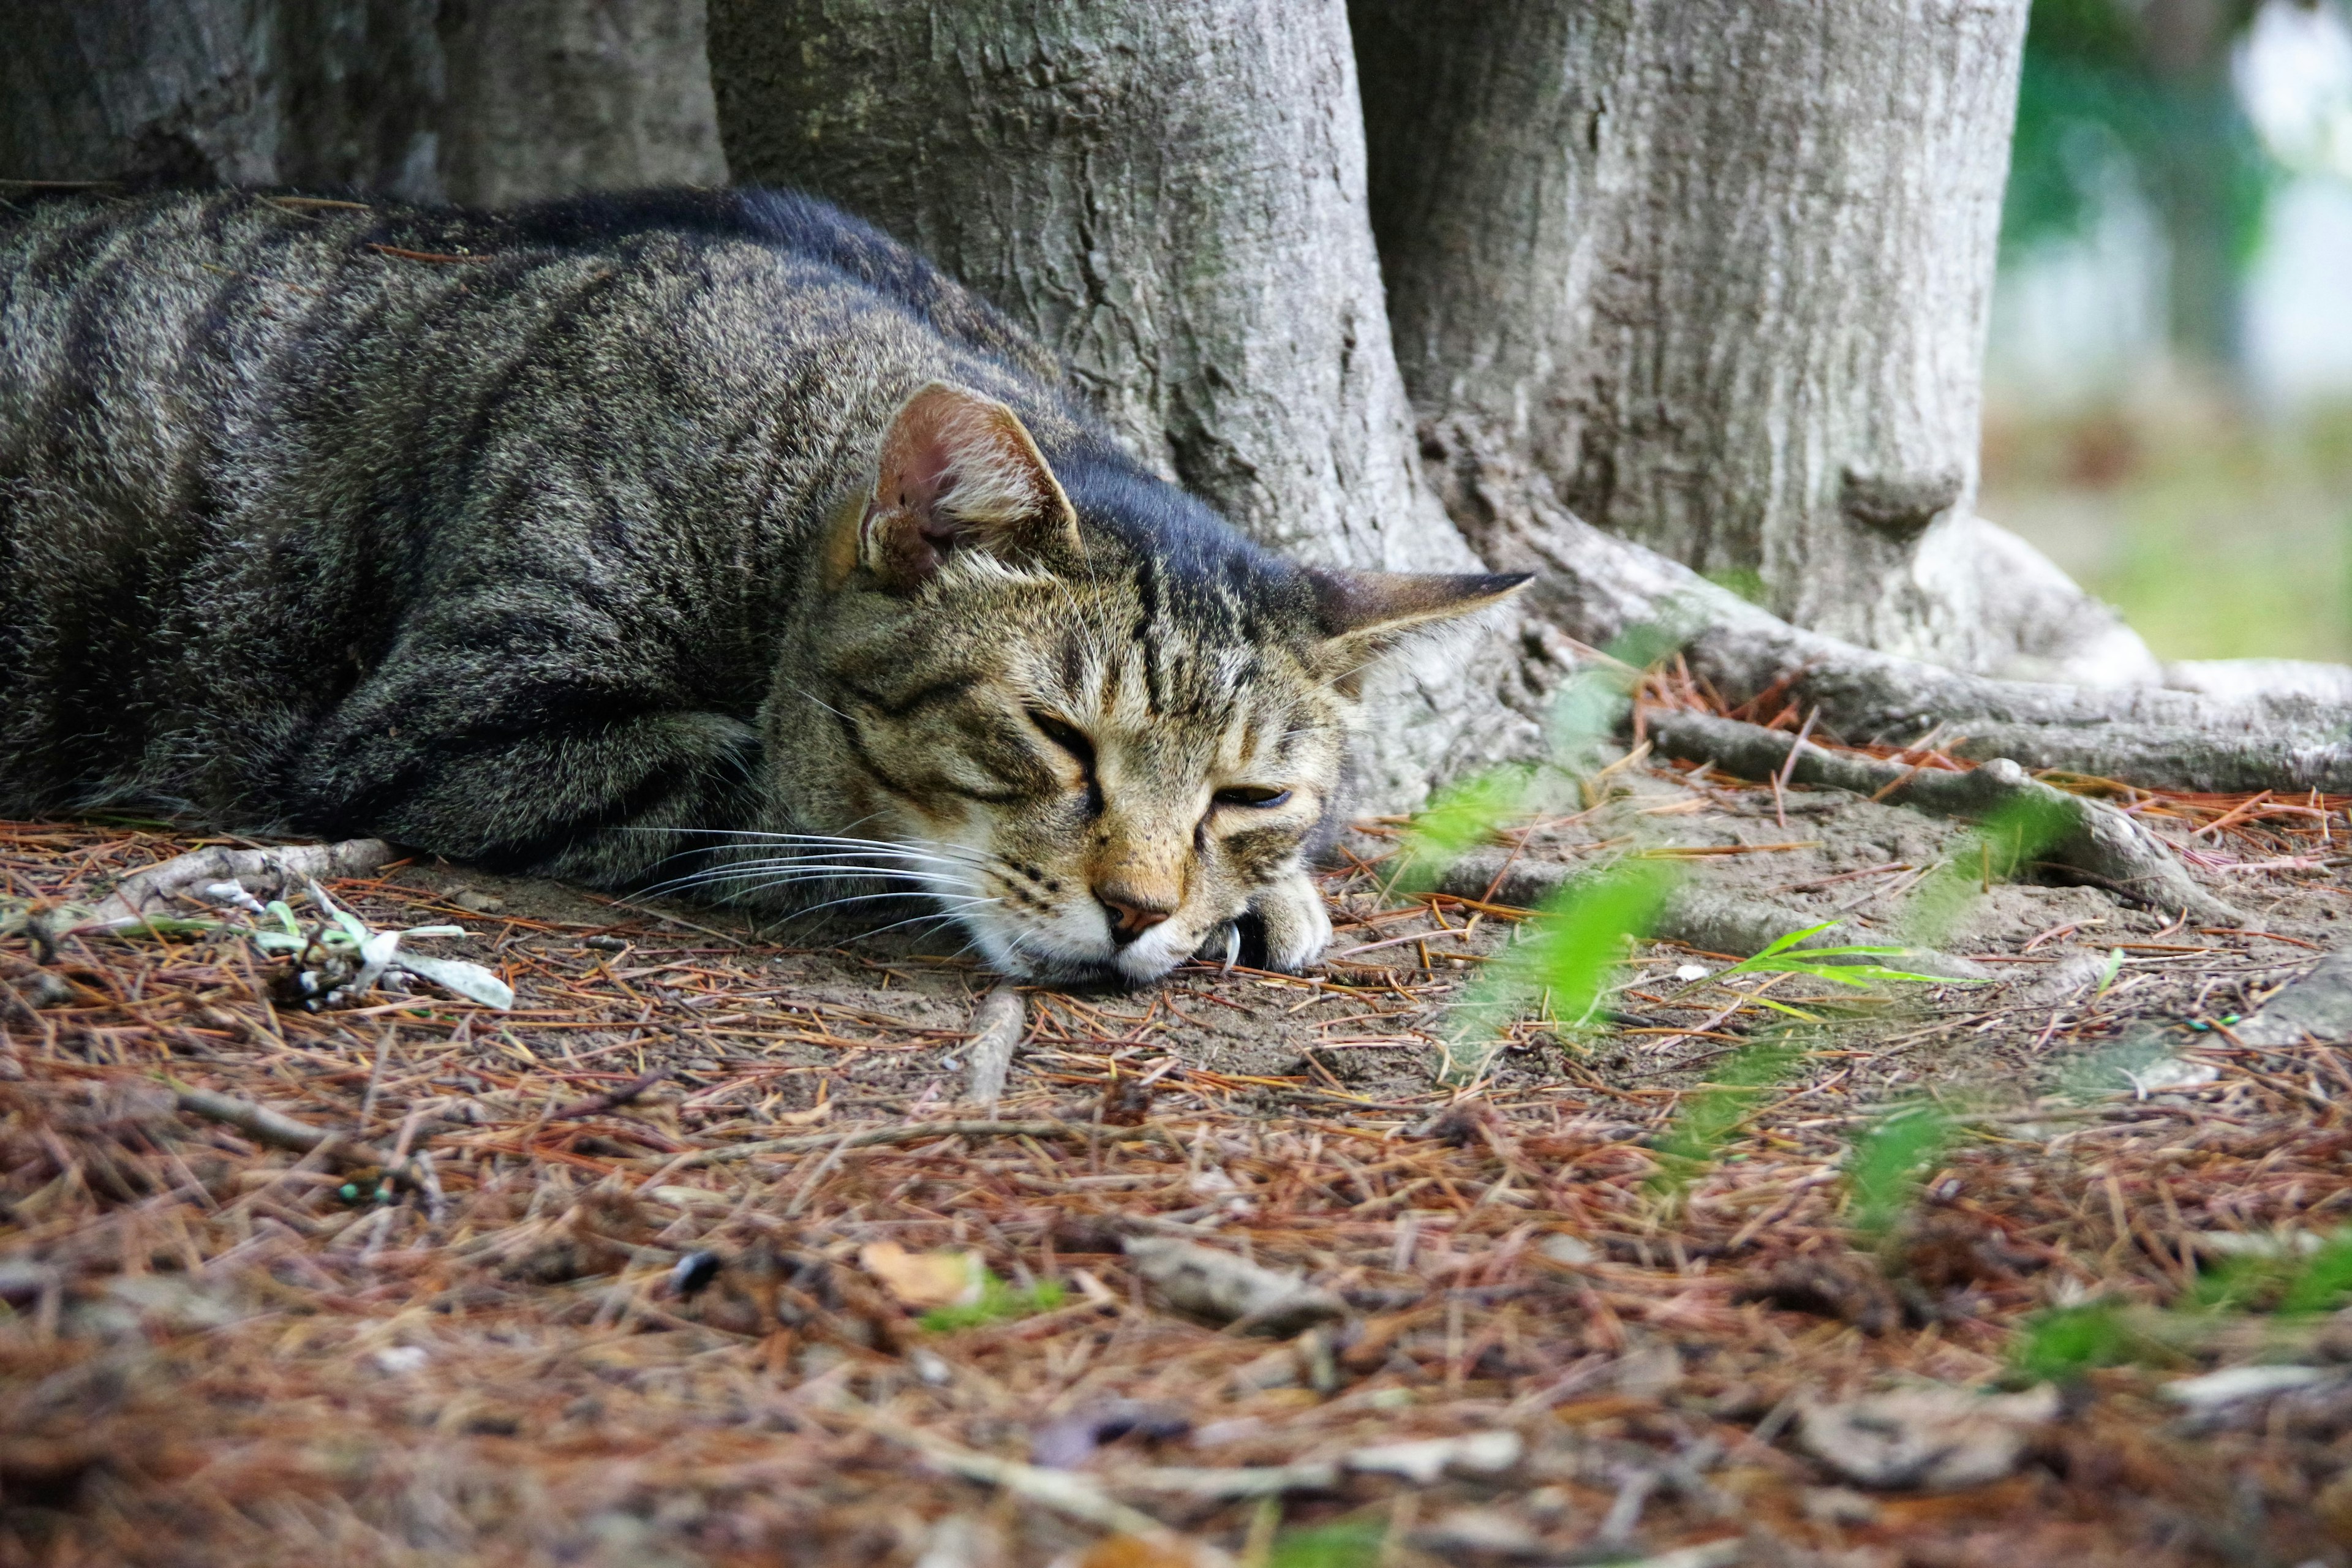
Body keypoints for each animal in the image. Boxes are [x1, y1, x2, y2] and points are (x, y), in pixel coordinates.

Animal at [0, 187, 1524, 982]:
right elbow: (767, 794)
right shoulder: (456, 717)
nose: (1143, 911)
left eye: (1249, 794)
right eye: (1054, 736)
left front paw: (1268, 889)